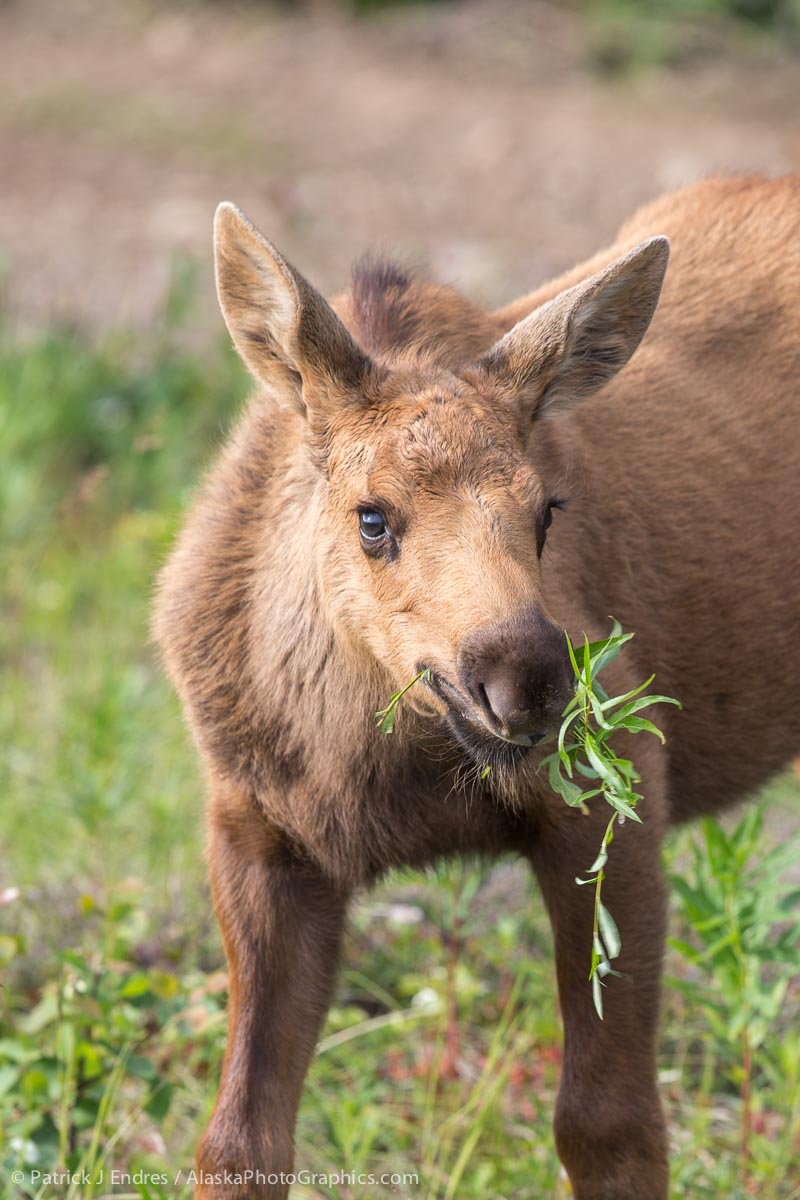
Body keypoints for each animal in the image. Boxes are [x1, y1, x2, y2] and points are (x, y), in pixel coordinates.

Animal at [154, 174, 800, 1195]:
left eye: (545, 513)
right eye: (372, 518)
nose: (526, 679)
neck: (367, 773)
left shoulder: (614, 811)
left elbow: (609, 1125)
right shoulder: (257, 835)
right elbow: (238, 1140)